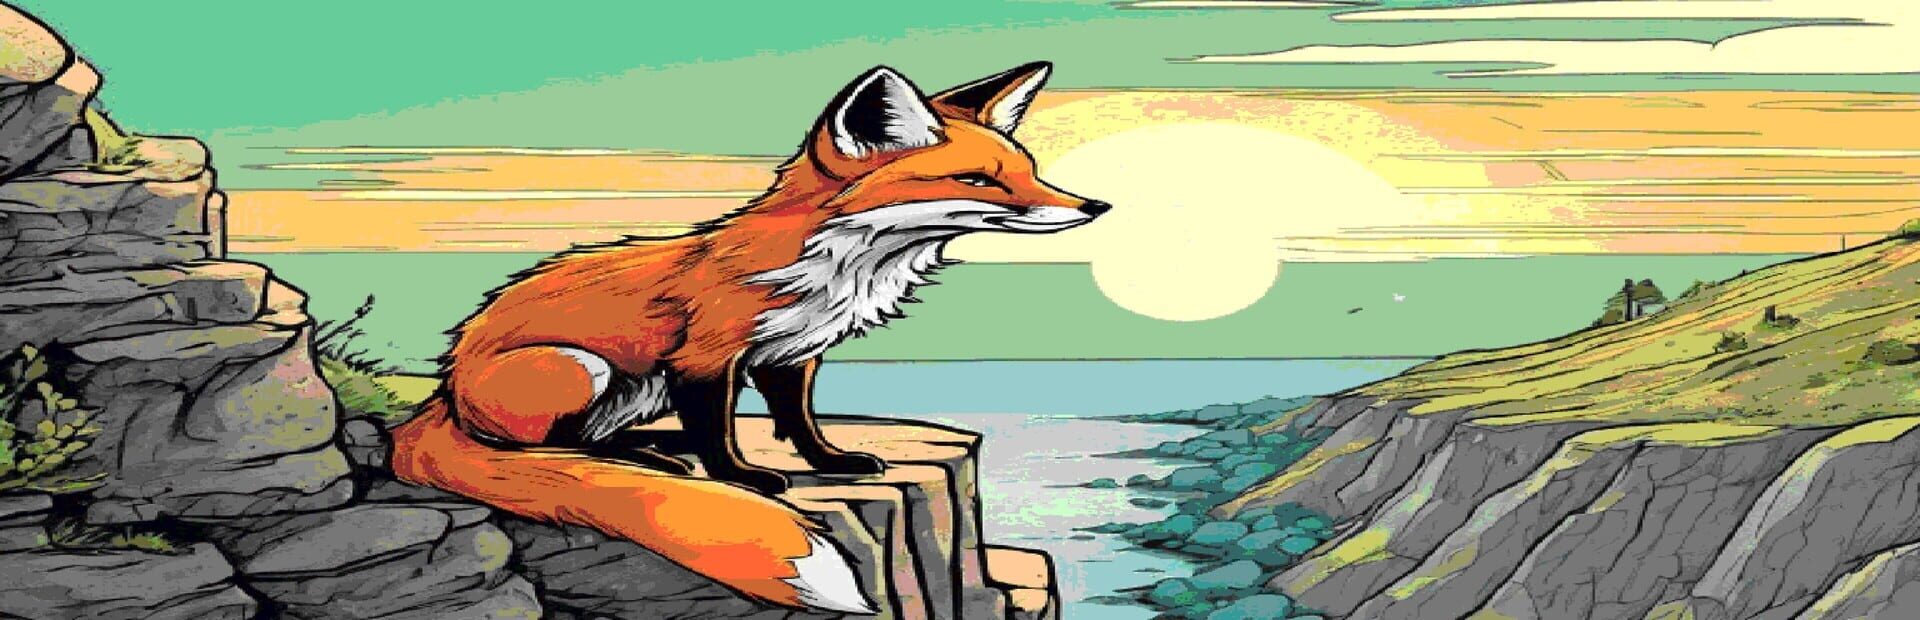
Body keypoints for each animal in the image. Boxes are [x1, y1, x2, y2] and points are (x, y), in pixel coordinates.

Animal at [386, 61, 1109, 614]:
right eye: (978, 180)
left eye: (1030, 170)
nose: (1095, 207)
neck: (840, 265)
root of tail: (444, 391)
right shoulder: (706, 357)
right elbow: (719, 429)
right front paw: (743, 476)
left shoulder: (791, 353)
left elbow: (800, 422)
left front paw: (830, 461)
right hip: (579, 367)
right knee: (543, 445)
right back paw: (647, 458)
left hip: (633, 389)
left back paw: (652, 446)